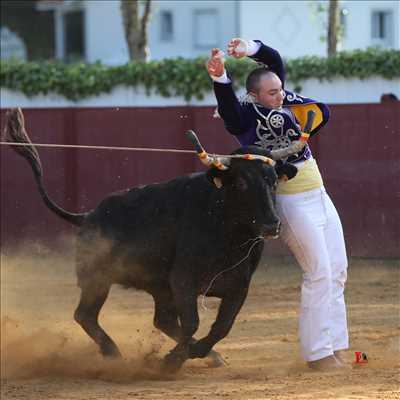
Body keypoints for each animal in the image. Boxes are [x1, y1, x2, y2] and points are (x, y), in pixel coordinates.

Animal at [3, 108, 296, 372]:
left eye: (273, 182)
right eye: (242, 182)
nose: (272, 224)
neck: (226, 230)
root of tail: (87, 216)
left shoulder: (239, 286)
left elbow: (222, 326)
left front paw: (194, 353)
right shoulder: (183, 281)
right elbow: (193, 322)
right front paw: (173, 361)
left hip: (154, 287)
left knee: (160, 320)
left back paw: (208, 356)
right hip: (97, 279)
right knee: (85, 315)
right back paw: (114, 353)